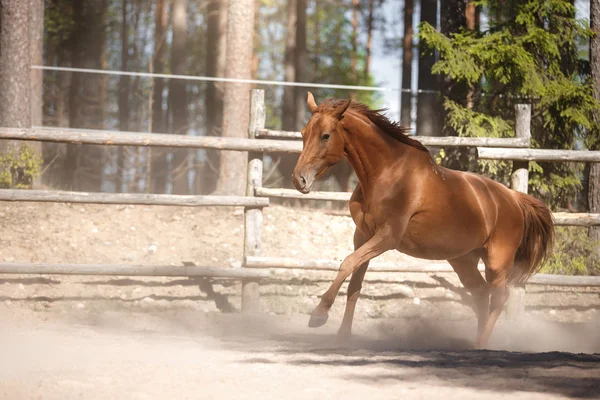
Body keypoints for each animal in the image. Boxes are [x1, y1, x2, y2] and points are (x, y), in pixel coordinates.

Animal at [290, 92, 552, 348]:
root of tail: (514, 198)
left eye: (325, 136)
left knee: (499, 297)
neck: (388, 174)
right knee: (480, 294)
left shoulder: (388, 237)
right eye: (303, 134)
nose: (299, 180)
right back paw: (474, 342)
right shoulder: (363, 236)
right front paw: (343, 337)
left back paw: (482, 345)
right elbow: (354, 282)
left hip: (497, 262)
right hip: (463, 260)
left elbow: (347, 263)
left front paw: (319, 314)